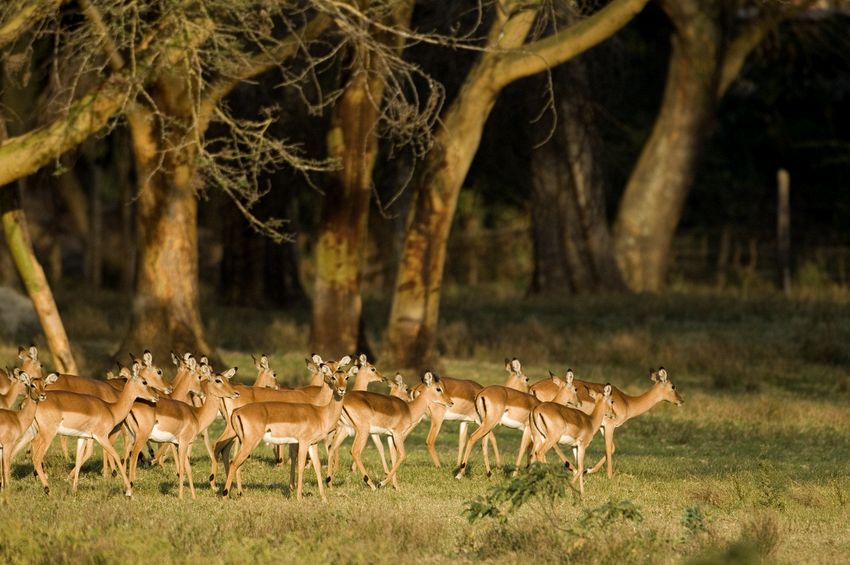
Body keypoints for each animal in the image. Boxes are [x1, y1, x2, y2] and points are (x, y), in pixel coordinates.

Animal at [24, 365, 164, 496]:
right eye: (144, 382)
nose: (156, 397)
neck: (111, 409)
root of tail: (32, 402)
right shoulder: (101, 436)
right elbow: (116, 455)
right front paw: (129, 491)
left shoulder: (83, 437)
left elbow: (79, 459)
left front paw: (74, 490)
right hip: (48, 434)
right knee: (36, 457)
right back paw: (48, 490)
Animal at [127, 367, 240, 499]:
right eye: (218, 380)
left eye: (227, 379)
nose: (236, 393)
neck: (196, 415)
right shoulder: (184, 443)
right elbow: (182, 469)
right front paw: (181, 497)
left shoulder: (179, 444)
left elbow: (188, 469)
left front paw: (194, 497)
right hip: (141, 438)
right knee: (133, 456)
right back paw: (130, 493)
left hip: (130, 437)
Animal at [208, 355, 352, 491]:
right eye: (325, 368)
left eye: (339, 367)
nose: (340, 388)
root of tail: (229, 393)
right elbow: (294, 456)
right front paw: (293, 485)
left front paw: (292, 485)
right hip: (234, 431)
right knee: (219, 446)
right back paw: (216, 485)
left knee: (224, 449)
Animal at [532, 367, 683, 478]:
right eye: (673, 386)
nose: (681, 400)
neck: (627, 402)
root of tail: (533, 386)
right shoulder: (610, 425)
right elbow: (609, 447)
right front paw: (608, 476)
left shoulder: (602, 427)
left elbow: (612, 448)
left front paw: (589, 469)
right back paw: (573, 469)